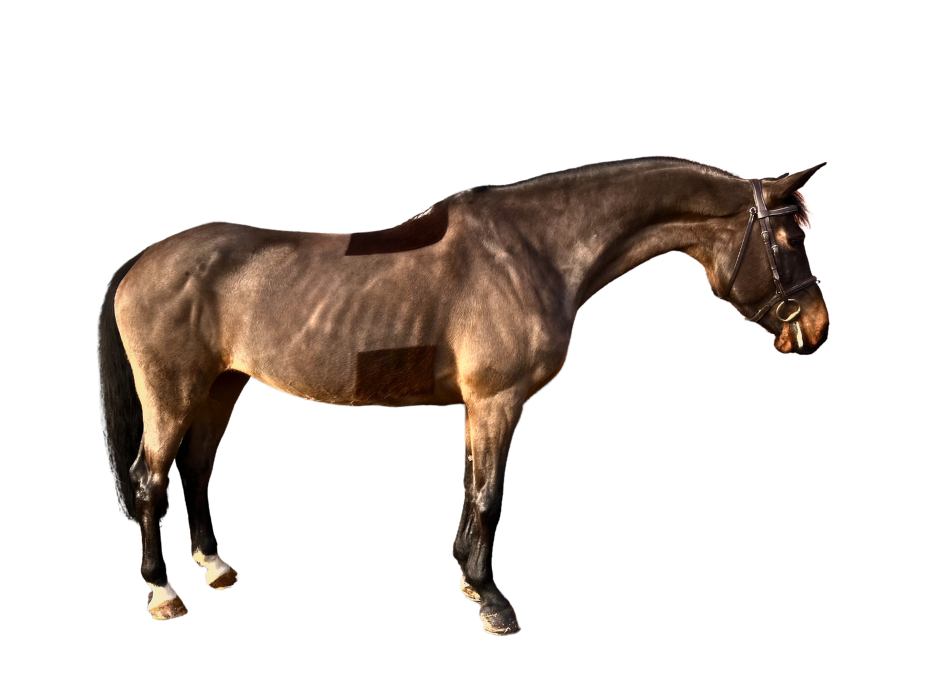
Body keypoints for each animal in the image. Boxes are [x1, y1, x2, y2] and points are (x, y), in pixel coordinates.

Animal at [96, 156, 829, 635]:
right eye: (789, 237)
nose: (818, 327)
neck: (532, 252)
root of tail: (141, 261)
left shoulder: (482, 407)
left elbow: (472, 485)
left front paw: (467, 582)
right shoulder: (499, 401)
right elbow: (489, 494)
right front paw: (493, 599)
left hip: (221, 386)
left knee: (196, 468)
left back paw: (215, 565)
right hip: (172, 392)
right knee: (150, 478)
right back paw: (163, 591)